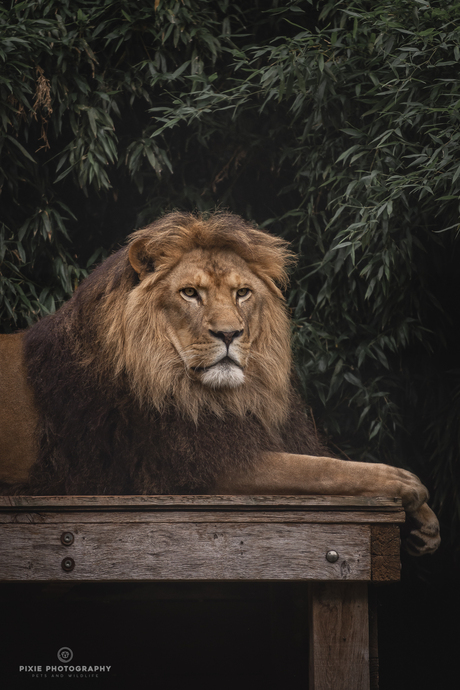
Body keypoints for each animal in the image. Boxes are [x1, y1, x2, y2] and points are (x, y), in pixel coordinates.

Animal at [0, 210, 438, 552]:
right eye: (190, 293)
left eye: (242, 293)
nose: (229, 334)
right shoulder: (204, 466)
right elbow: (322, 471)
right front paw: (405, 483)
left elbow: (323, 465)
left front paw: (426, 522)